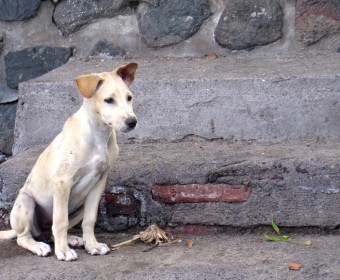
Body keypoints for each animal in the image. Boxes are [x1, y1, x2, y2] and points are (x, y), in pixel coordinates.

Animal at [0, 62, 138, 262]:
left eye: (129, 98)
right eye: (109, 100)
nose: (132, 122)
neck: (98, 135)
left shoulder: (99, 182)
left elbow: (90, 219)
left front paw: (92, 246)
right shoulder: (62, 181)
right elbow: (60, 221)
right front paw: (63, 251)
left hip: (79, 207)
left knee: (50, 232)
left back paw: (72, 239)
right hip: (26, 202)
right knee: (24, 237)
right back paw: (40, 246)